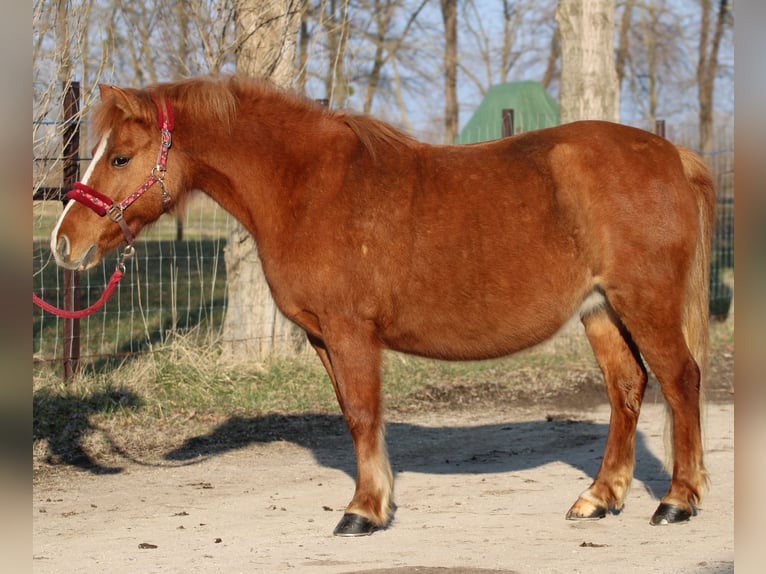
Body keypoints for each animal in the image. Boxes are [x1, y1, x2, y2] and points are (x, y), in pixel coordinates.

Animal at [51, 75, 716, 536]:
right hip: (601, 310)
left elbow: (364, 415)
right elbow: (353, 413)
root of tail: (672, 155)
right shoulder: (324, 337)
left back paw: (676, 501)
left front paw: (364, 512)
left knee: (680, 380)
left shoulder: (351, 332)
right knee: (628, 386)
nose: (64, 243)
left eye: (120, 157)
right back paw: (599, 497)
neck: (307, 188)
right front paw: (374, 502)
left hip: (645, 304)